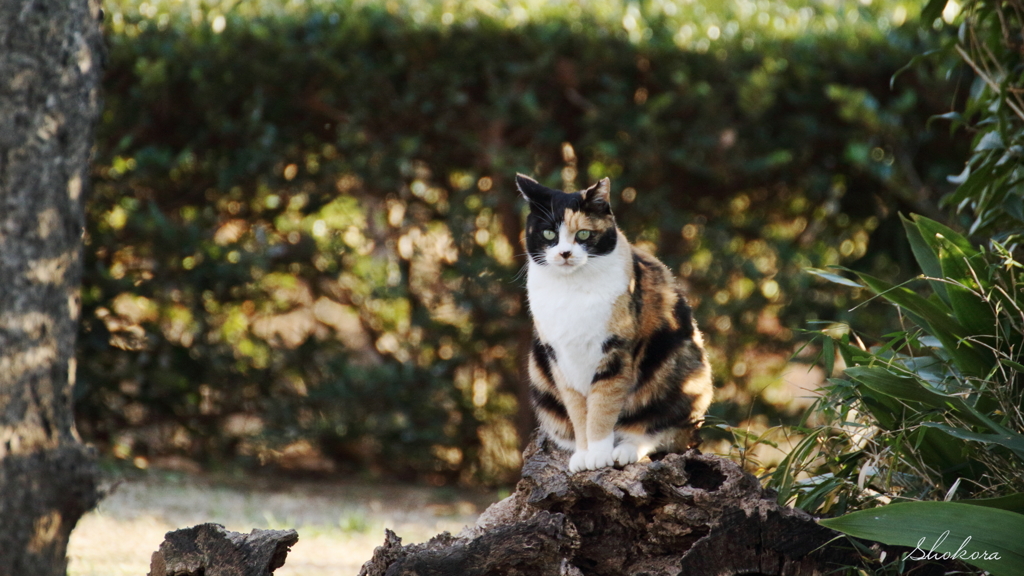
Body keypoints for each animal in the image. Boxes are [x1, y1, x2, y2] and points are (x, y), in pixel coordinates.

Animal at [520, 174, 712, 471]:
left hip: (684, 371)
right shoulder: (559, 357)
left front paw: (599, 455)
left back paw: (625, 450)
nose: (565, 253)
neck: (571, 288)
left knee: (662, 430)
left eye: (583, 234)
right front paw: (584, 454)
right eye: (549, 234)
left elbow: (603, 405)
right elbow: (578, 412)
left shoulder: (615, 350)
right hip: (539, 373)